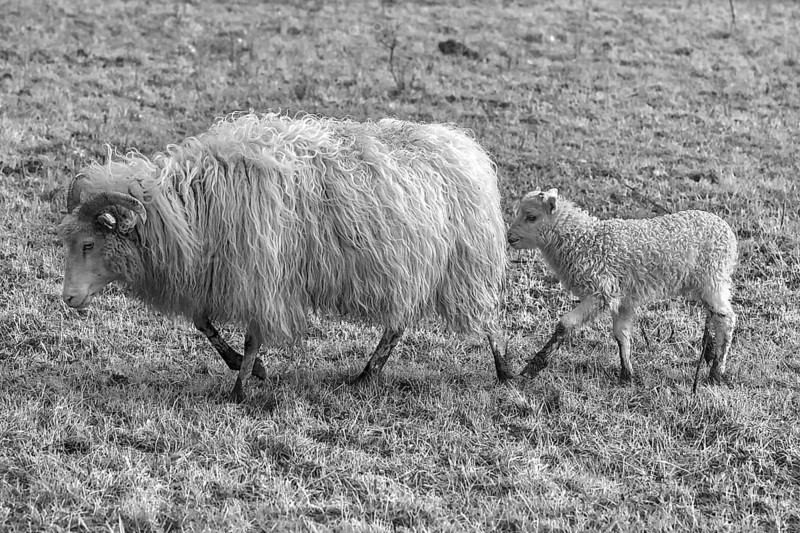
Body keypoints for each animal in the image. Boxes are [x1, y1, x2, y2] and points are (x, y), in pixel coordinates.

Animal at [58, 112, 514, 402]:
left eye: (89, 244)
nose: (67, 299)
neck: (189, 205)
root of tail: (464, 147)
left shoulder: (259, 272)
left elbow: (252, 334)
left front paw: (240, 390)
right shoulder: (217, 269)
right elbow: (203, 322)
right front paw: (245, 367)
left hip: (466, 265)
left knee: (487, 321)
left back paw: (505, 372)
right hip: (414, 269)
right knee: (398, 325)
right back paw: (367, 375)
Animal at [506, 188, 737, 391]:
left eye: (531, 217)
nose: (509, 237)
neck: (584, 241)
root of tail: (728, 231)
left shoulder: (602, 291)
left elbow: (566, 323)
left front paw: (532, 368)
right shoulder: (623, 298)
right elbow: (621, 335)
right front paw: (627, 376)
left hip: (713, 279)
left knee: (727, 319)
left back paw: (716, 372)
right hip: (706, 284)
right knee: (715, 315)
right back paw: (709, 356)